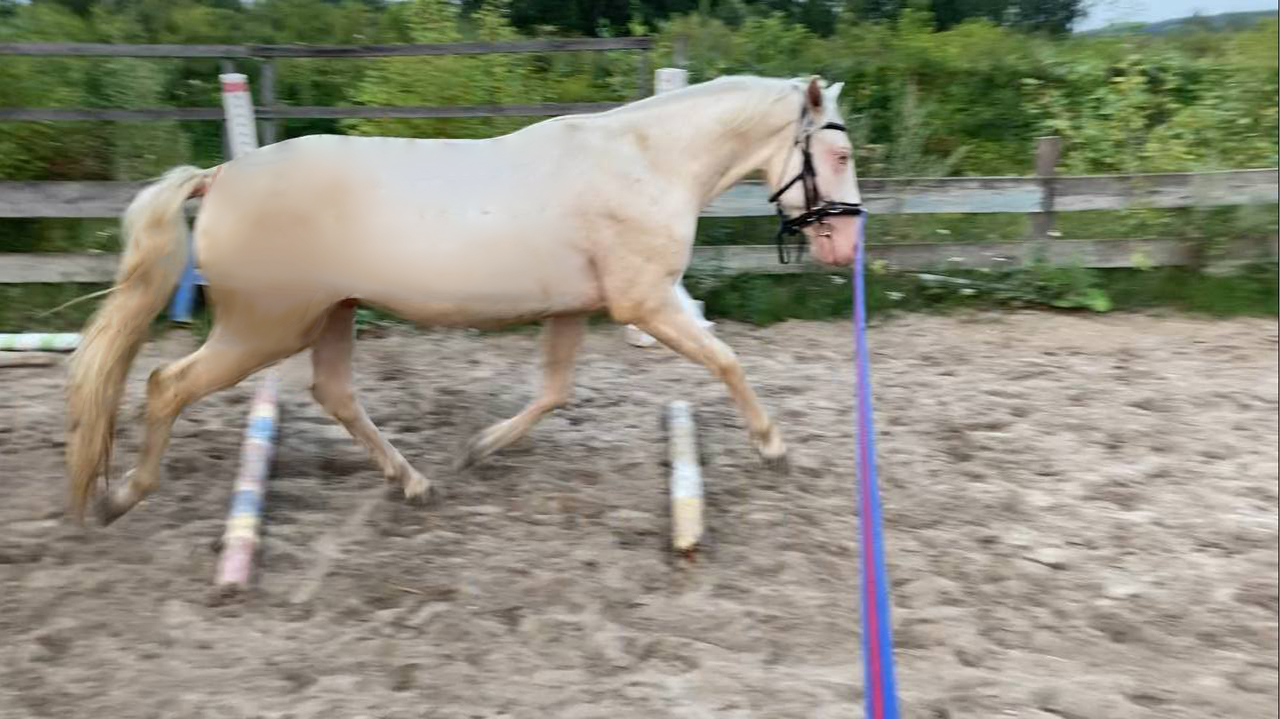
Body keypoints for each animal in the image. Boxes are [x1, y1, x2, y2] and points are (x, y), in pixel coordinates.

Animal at [64, 72, 865, 524]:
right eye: (840, 152)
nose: (846, 247)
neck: (644, 162)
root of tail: (223, 174)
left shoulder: (575, 307)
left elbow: (555, 389)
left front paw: (481, 447)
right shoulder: (647, 303)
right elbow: (726, 359)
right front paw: (773, 446)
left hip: (330, 314)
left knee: (334, 394)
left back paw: (416, 483)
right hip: (265, 327)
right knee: (167, 384)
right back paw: (118, 497)